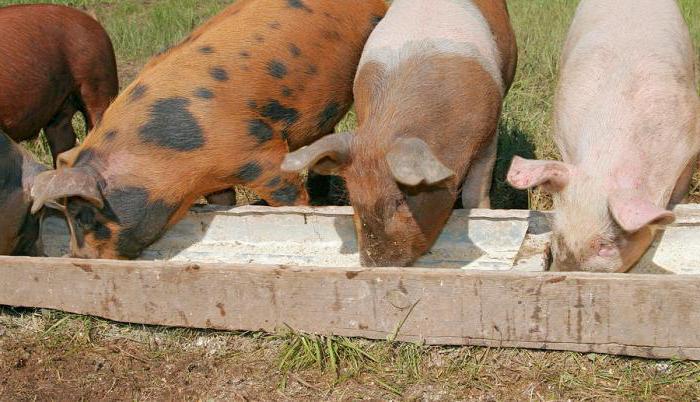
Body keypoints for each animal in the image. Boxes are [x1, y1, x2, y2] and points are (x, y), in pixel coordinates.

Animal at [28, 0, 388, 260]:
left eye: (83, 216)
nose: (78, 256)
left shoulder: (261, 151)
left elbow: (287, 196)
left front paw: (302, 211)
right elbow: (224, 201)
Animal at [282, 1, 516, 268]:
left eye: (401, 200)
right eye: (354, 199)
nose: (375, 263)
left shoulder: (489, 136)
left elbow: (475, 193)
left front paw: (484, 212)